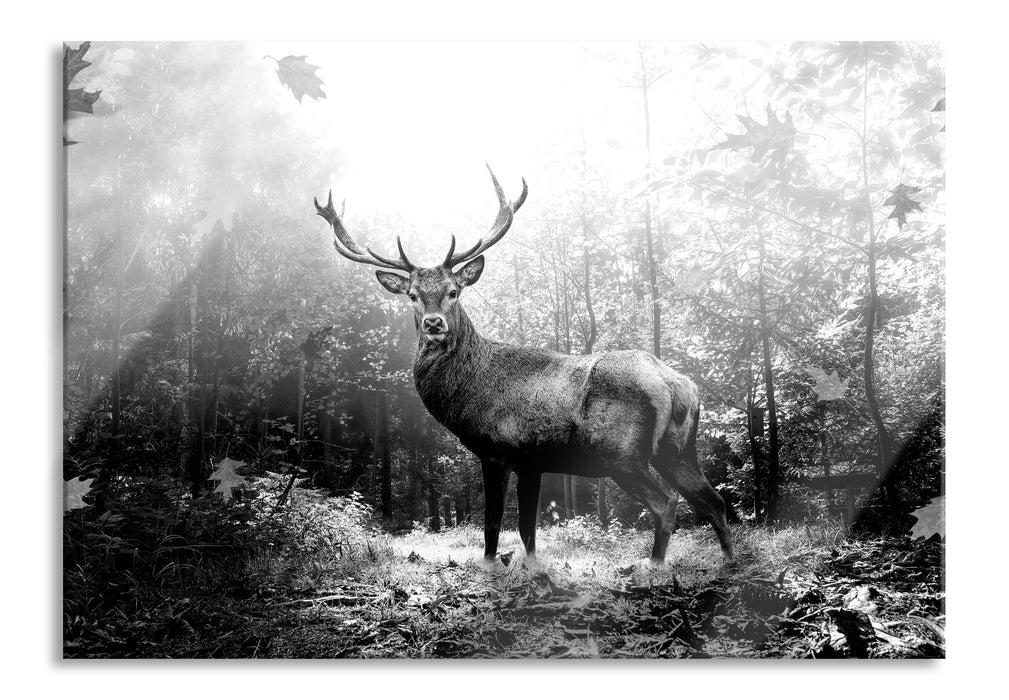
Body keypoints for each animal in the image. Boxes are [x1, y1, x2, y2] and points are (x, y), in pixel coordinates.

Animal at [313, 166, 734, 565]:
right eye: (413, 295)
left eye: (454, 291)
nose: (434, 324)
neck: (469, 390)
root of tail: (677, 384)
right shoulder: (533, 462)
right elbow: (528, 529)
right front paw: (531, 570)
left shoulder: (496, 449)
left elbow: (493, 524)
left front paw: (490, 568)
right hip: (679, 449)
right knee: (714, 500)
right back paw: (730, 563)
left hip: (622, 451)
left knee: (667, 502)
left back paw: (655, 567)